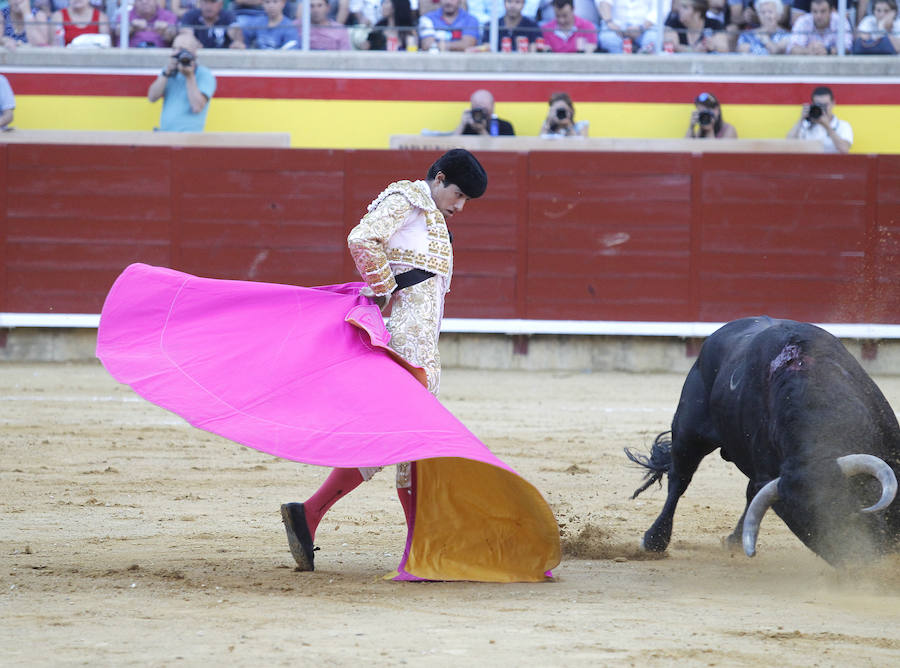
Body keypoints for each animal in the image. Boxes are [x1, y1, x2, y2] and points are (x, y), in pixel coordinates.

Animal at [624, 318, 900, 564]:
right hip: (688, 433)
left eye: (853, 506)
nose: (861, 563)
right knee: (679, 480)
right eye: (807, 530)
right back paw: (654, 540)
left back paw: (733, 541)